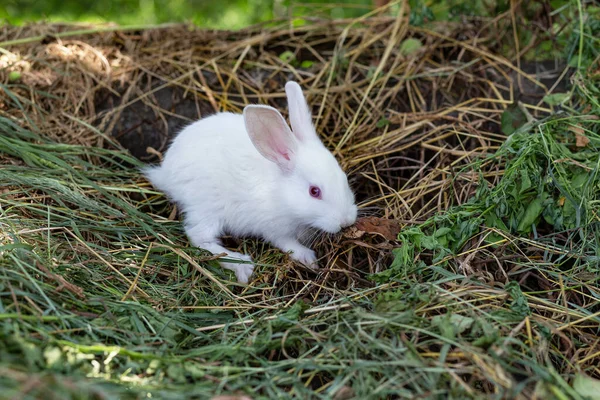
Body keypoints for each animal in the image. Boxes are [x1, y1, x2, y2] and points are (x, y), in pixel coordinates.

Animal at [144, 81, 356, 282]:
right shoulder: (273, 228)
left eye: (344, 178)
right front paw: (309, 258)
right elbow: (287, 244)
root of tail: (166, 172)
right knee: (198, 237)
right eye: (314, 191)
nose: (346, 221)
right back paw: (242, 265)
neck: (282, 194)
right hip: (208, 206)